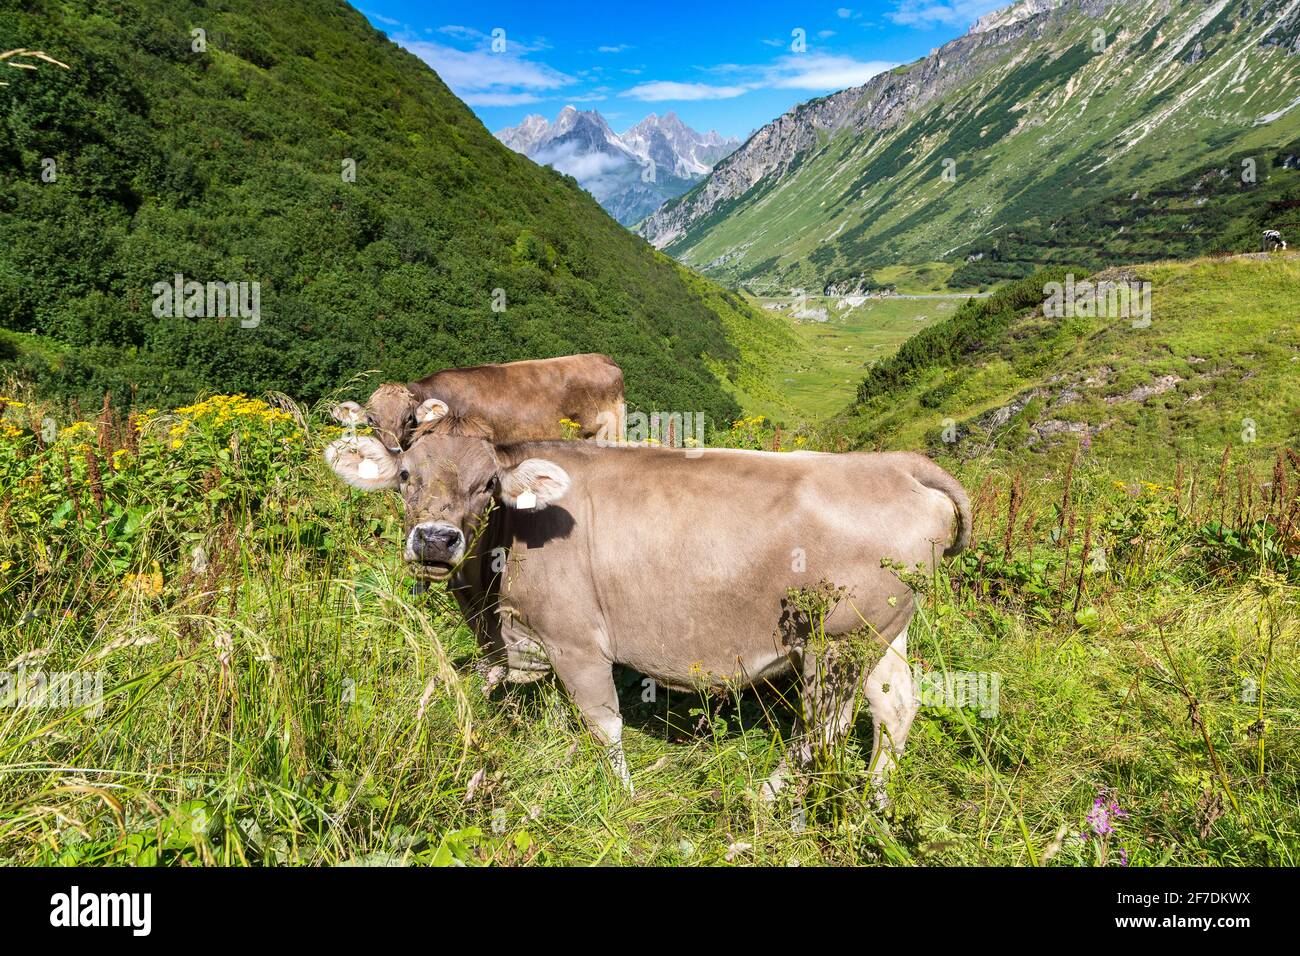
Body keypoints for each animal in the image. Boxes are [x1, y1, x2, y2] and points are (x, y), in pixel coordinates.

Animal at [323, 411, 971, 801]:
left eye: (488, 485)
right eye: (405, 475)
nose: (436, 540)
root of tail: (894, 463)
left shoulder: (575, 641)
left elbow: (604, 726)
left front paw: (621, 796)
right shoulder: (520, 642)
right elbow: (497, 691)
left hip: (834, 641)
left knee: (822, 727)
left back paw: (766, 804)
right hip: (882, 632)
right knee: (896, 706)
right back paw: (876, 803)